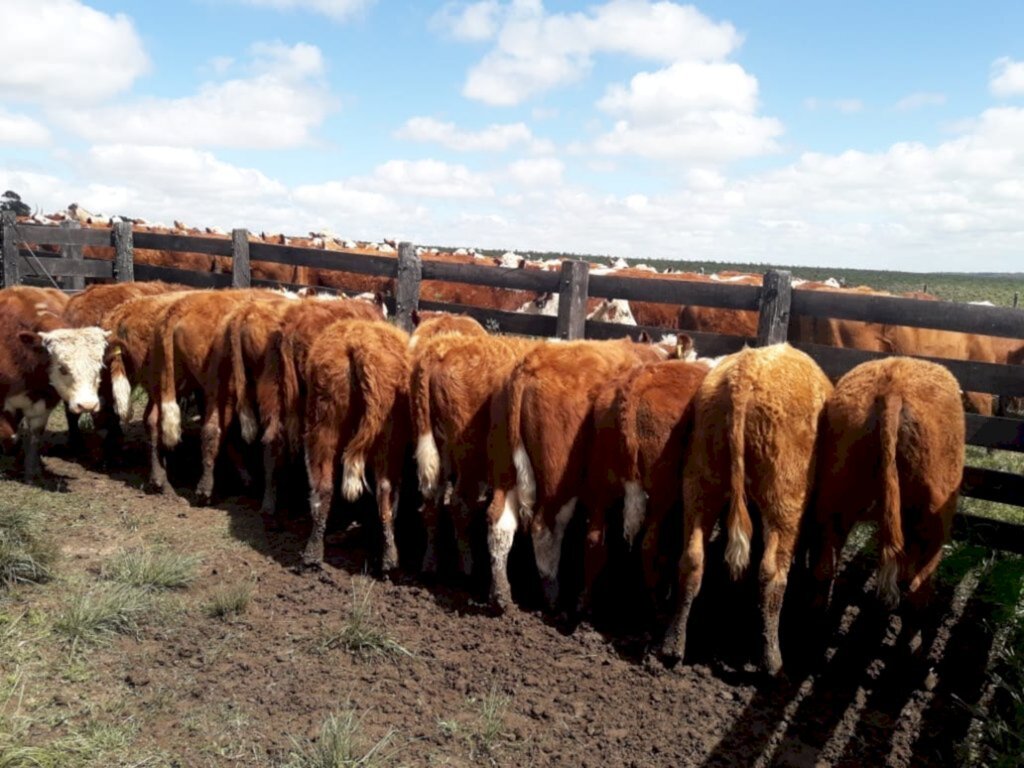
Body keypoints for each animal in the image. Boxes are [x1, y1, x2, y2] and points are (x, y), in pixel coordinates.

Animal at [301, 319, 409, 573]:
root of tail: (359, 345)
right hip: (385, 438)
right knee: (384, 489)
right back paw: (388, 558)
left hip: (326, 427)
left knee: (325, 485)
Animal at [659, 346, 835, 675]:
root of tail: (745, 373)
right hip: (784, 500)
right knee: (771, 573)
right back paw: (772, 661)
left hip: (701, 484)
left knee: (692, 559)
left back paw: (673, 645)